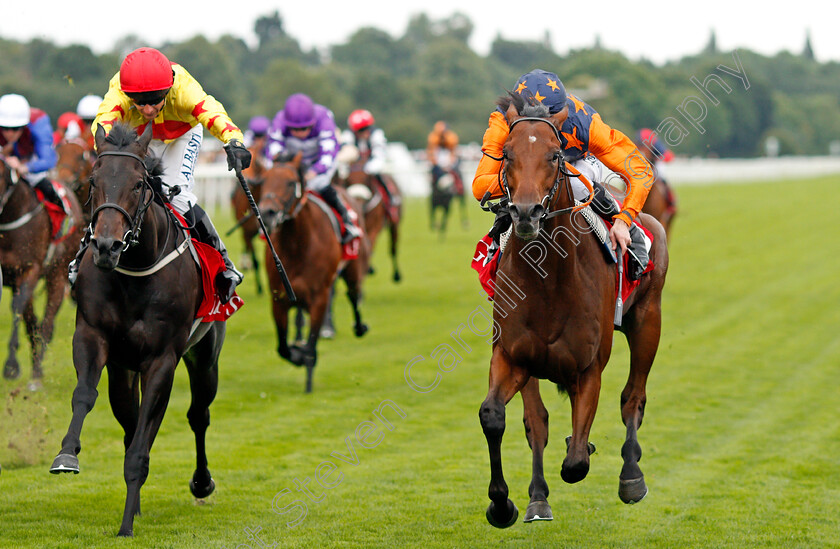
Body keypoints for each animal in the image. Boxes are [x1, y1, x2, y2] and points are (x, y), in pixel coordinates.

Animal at [0, 157, 83, 386]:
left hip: (57, 275)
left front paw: (11, 366)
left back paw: (36, 373)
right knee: (33, 322)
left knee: (46, 324)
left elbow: (18, 309)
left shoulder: (30, 269)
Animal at [50, 123, 223, 536]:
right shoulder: (92, 336)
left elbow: (144, 440)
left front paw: (126, 525)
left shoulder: (162, 360)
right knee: (130, 421)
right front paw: (67, 454)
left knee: (198, 415)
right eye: (93, 181)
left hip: (204, 356)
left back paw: (201, 482)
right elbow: (85, 395)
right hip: (123, 370)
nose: (106, 246)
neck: (135, 270)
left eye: (139, 184)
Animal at [258, 152, 370, 392]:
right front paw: (296, 352)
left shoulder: (319, 298)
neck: (298, 245)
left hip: (352, 268)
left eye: (291, 182)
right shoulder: (278, 298)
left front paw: (308, 381)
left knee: (353, 295)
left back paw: (359, 327)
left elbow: (311, 347)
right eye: (263, 181)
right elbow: (283, 348)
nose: (267, 213)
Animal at [480, 95, 668, 528]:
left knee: (633, 397)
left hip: (648, 321)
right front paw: (503, 503)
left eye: (554, 154)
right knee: (537, 422)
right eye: (506, 153)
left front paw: (585, 449)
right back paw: (537, 498)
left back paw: (631, 476)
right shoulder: (513, 356)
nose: (526, 213)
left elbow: (577, 462)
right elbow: (496, 416)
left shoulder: (588, 368)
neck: (548, 280)